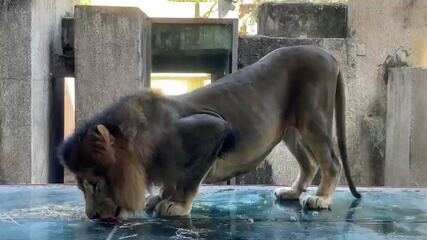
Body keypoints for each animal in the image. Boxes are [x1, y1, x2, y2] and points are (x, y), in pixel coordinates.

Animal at [58, 45, 362, 219]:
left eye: (94, 184)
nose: (92, 216)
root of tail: (328, 54)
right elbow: (172, 179)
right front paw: (161, 196)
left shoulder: (215, 128)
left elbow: (189, 179)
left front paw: (176, 205)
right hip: (290, 129)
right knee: (310, 163)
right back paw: (292, 192)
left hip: (314, 118)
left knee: (331, 162)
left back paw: (320, 198)